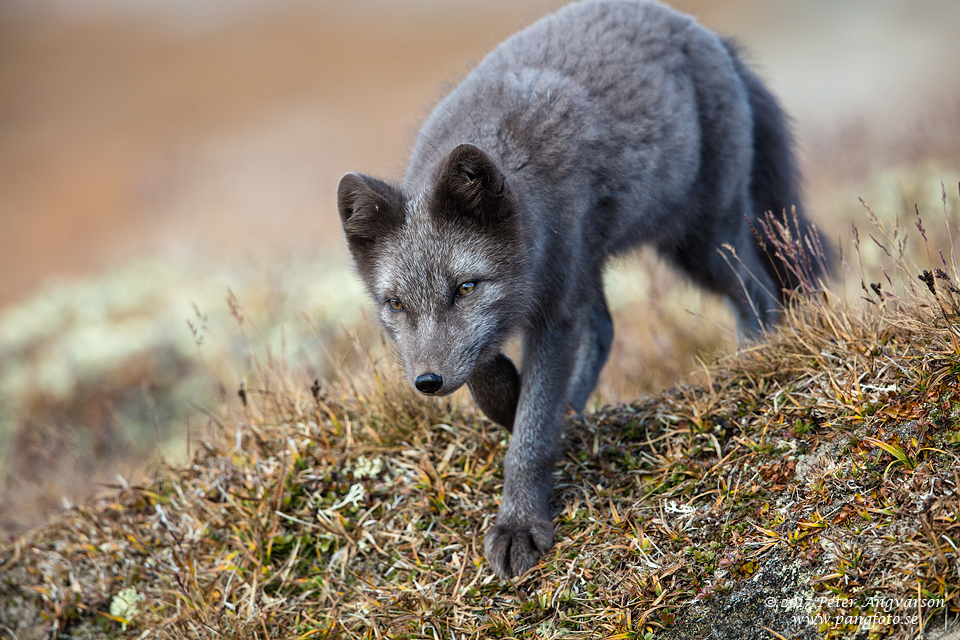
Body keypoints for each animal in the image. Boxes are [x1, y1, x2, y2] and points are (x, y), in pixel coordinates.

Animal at [336, 0, 824, 580]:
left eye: (466, 287)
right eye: (395, 304)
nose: (426, 383)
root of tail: (705, 33)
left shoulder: (556, 311)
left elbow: (529, 437)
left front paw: (519, 525)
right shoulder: (536, 307)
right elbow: (486, 374)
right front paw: (510, 397)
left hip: (700, 241)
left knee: (758, 290)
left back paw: (750, 359)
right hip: (607, 264)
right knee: (608, 330)